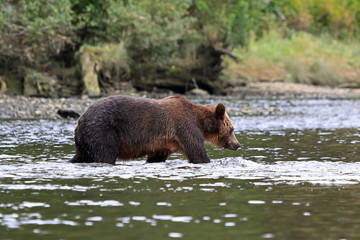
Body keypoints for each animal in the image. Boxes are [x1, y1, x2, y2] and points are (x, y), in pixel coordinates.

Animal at [70, 94, 239, 164]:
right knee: (105, 153)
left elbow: (156, 156)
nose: (237, 144)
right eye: (232, 129)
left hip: (87, 140)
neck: (202, 122)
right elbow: (197, 152)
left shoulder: (164, 143)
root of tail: (79, 122)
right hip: (103, 129)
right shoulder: (185, 127)